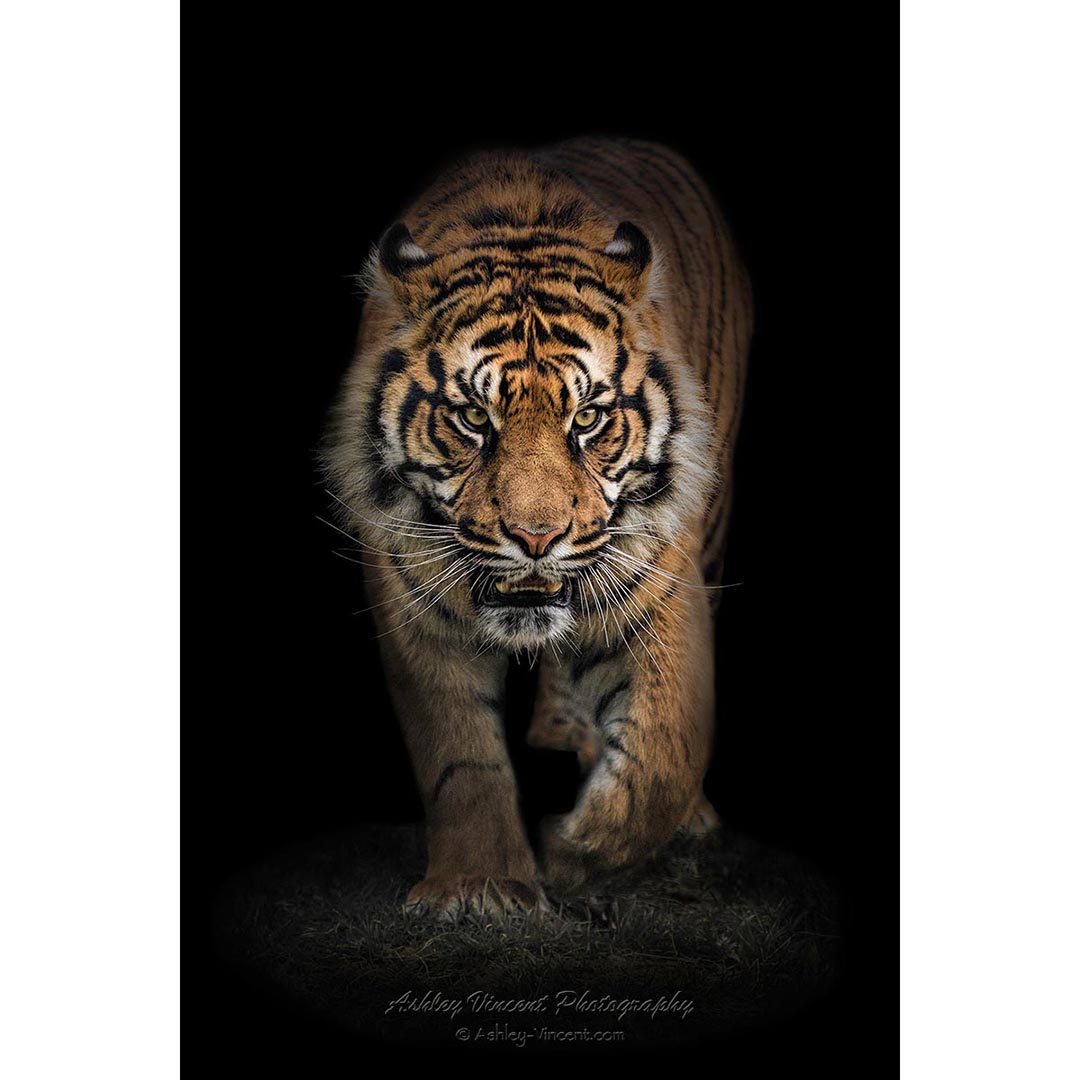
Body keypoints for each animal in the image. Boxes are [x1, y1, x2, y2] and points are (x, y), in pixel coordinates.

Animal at [321, 136, 753, 919]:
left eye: (587, 418)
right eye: (472, 417)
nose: (536, 538)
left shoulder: (657, 580)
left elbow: (663, 754)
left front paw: (572, 853)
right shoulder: (411, 598)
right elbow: (457, 751)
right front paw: (478, 885)